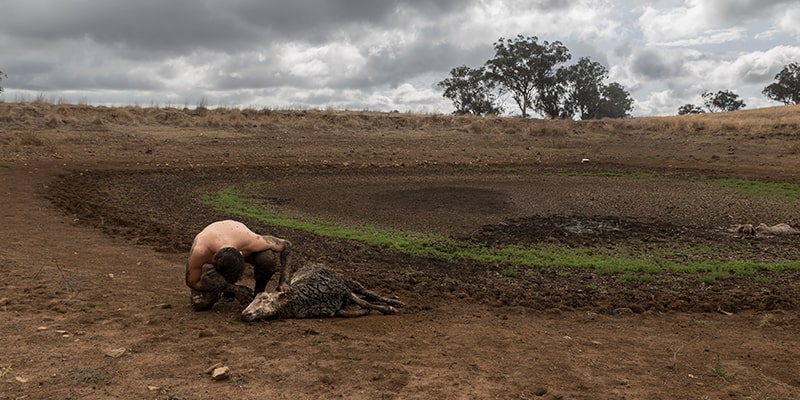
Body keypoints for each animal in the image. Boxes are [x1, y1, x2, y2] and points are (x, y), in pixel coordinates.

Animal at [241, 262, 404, 322]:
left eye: (264, 299)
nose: (244, 314)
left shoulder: (343, 291)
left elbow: (365, 303)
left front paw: (389, 309)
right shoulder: (333, 311)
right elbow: (355, 312)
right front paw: (364, 311)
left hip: (348, 283)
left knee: (369, 294)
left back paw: (396, 301)